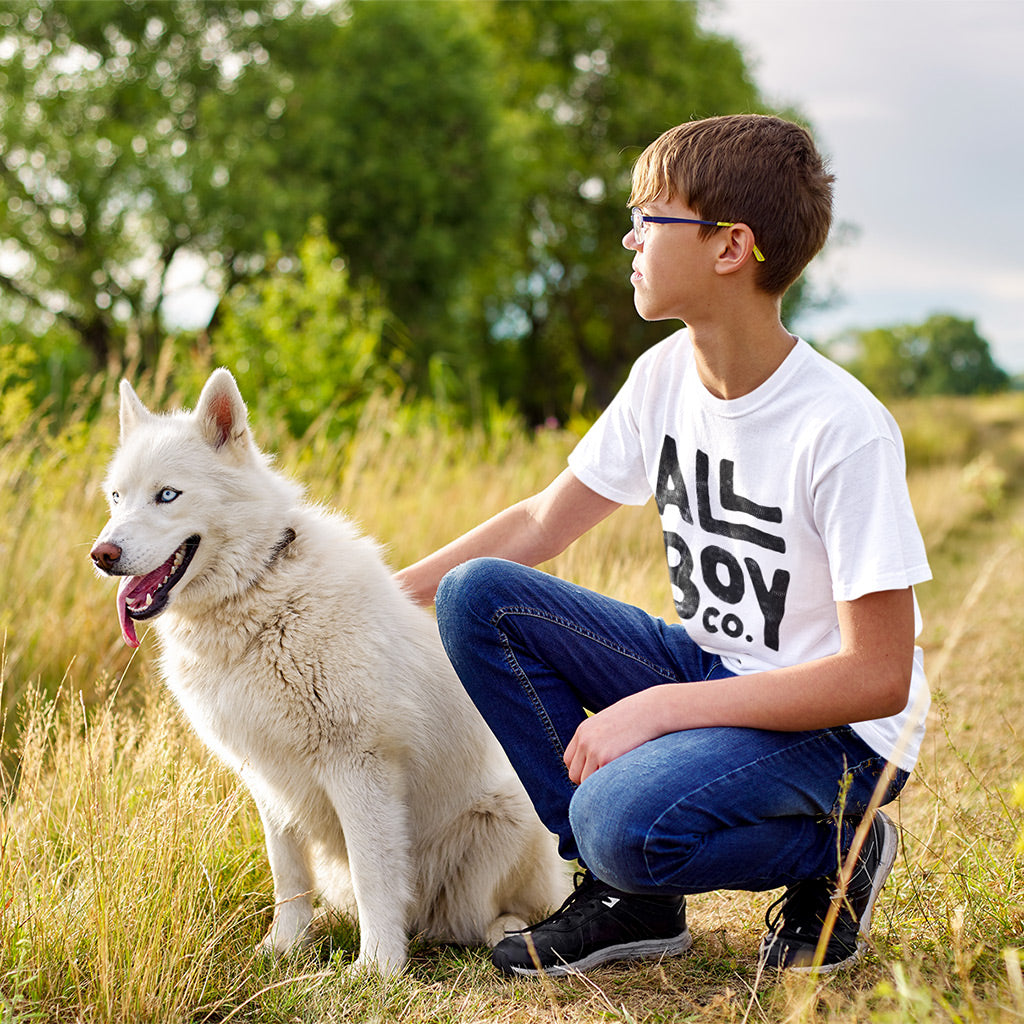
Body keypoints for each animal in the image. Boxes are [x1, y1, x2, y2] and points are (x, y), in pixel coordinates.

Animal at [91, 368, 565, 974]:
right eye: (117, 497)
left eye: (167, 495)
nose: (102, 555)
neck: (257, 600)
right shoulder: (266, 777)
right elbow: (288, 877)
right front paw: (283, 947)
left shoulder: (359, 767)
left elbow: (374, 877)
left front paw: (377, 970)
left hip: (507, 818)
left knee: (497, 911)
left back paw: (508, 934)